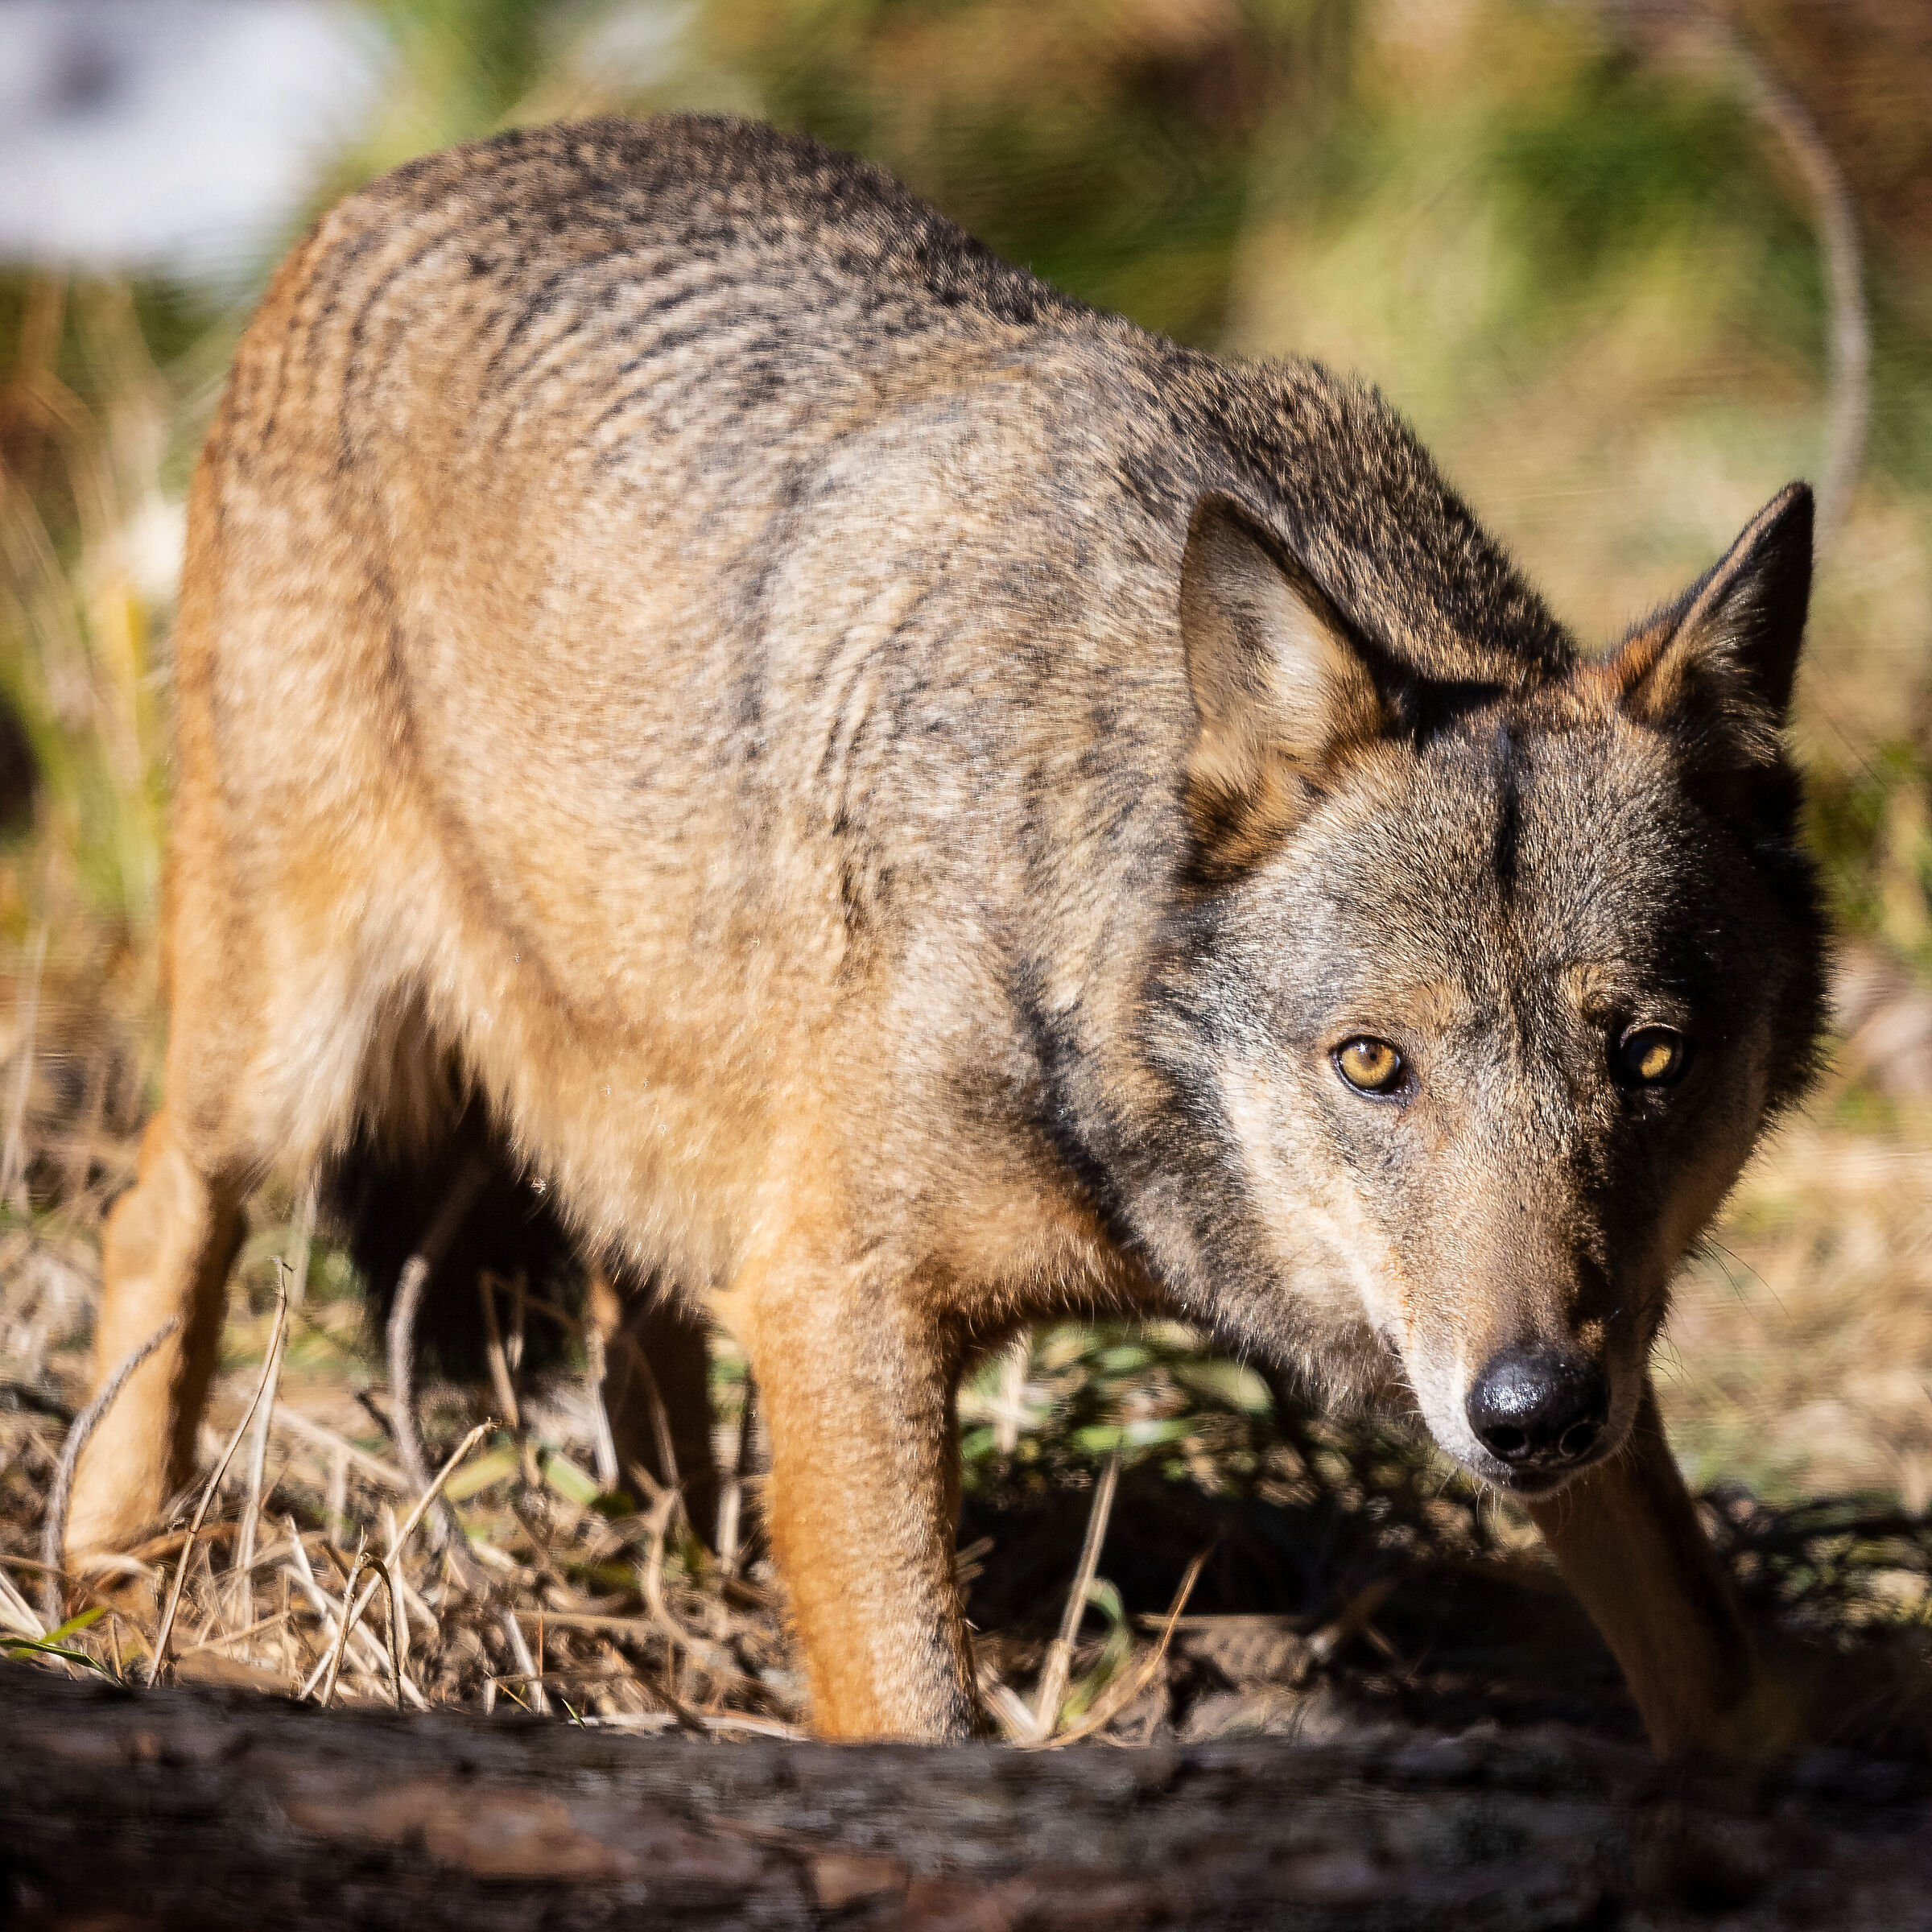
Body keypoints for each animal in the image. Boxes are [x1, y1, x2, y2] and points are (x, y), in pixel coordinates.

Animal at [66, 115, 1826, 1750]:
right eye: (1374, 1063)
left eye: (1652, 1058)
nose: (1530, 1415)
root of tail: (405, 180)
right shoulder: (841, 1304)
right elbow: (917, 1708)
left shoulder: (1595, 1360)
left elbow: (1723, 1680)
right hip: (297, 1052)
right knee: (156, 1211)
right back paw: (110, 1576)